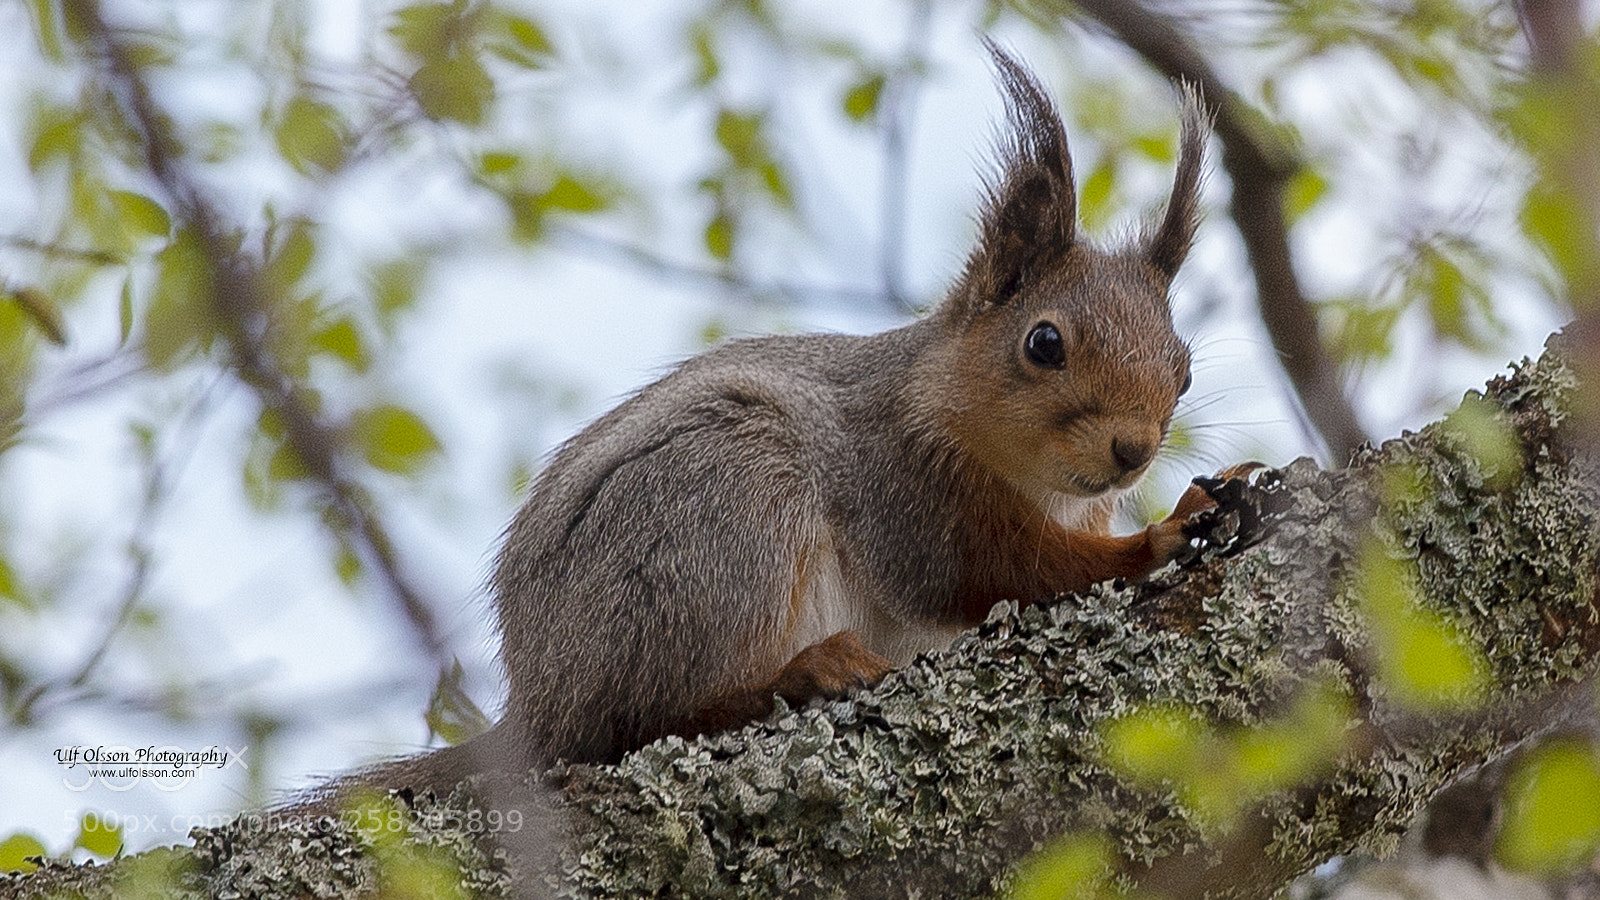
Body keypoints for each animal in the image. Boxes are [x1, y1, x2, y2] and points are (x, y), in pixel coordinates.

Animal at [319, 41, 1246, 802]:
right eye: (1043, 342)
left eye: (1185, 369)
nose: (1133, 451)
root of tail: (541, 705)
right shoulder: (908, 488)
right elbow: (1007, 567)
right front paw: (1164, 532)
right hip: (727, 502)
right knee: (636, 724)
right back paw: (801, 672)